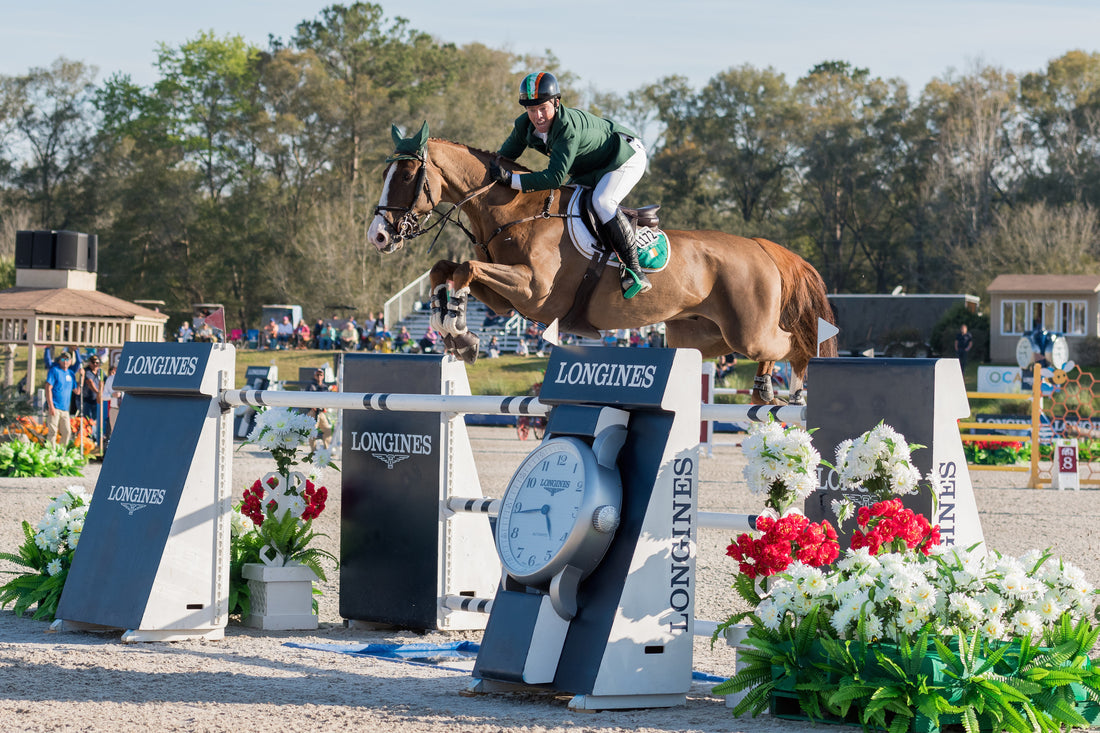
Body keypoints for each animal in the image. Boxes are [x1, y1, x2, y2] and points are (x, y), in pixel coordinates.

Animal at [365, 122, 836, 402]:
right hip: (702, 337)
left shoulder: (534, 293)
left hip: (746, 331)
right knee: (761, 349)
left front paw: (459, 333)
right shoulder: (506, 301)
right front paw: (454, 331)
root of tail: (761, 247)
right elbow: (446, 269)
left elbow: (464, 268)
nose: (379, 236)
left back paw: (794, 389)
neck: (514, 210)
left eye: (406, 175)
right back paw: (764, 388)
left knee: (789, 344)